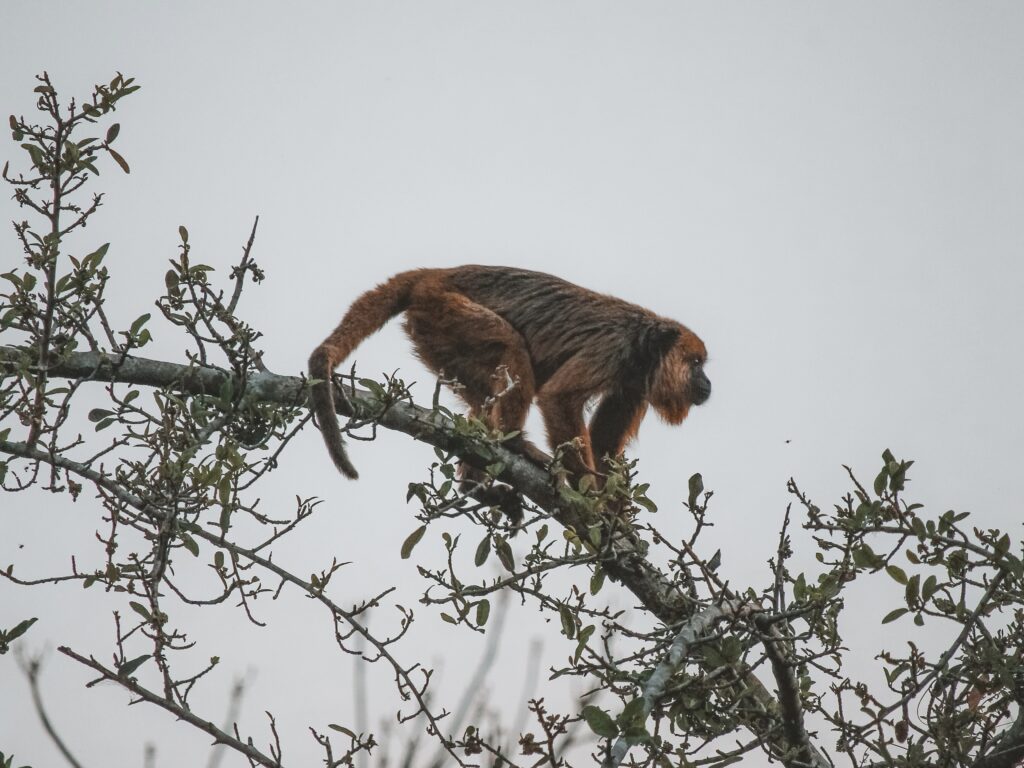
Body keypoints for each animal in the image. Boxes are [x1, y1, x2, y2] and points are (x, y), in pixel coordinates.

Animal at [308, 265, 710, 492]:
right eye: (696, 363)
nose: (708, 384)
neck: (645, 346)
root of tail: (434, 274)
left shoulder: (634, 382)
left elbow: (605, 441)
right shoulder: (613, 349)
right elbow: (558, 397)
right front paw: (590, 498)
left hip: (436, 336)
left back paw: (478, 477)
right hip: (444, 310)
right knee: (512, 347)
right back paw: (514, 443)